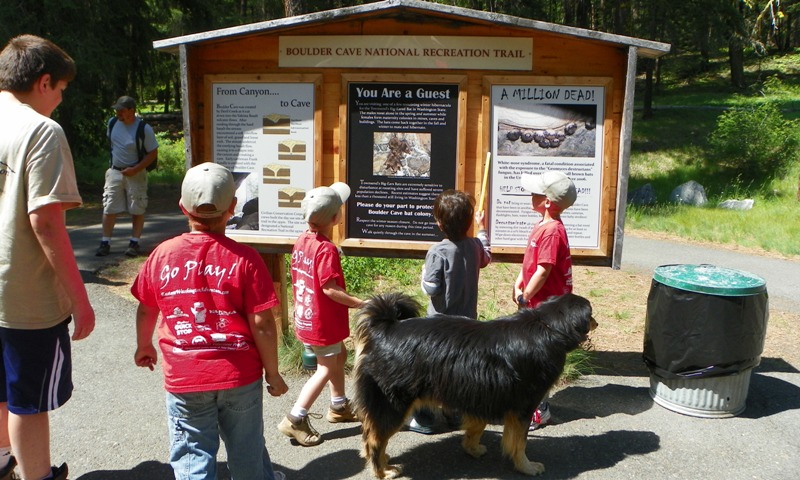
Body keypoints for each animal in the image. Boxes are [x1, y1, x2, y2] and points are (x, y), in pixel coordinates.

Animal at [354, 292, 596, 476]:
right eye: (591, 313)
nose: (596, 322)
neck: (548, 326)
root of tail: (385, 328)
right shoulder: (522, 408)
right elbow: (519, 443)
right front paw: (526, 467)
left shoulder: (482, 395)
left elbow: (476, 427)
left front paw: (472, 448)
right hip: (393, 405)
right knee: (374, 440)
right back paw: (382, 471)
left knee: (371, 436)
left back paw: (384, 460)